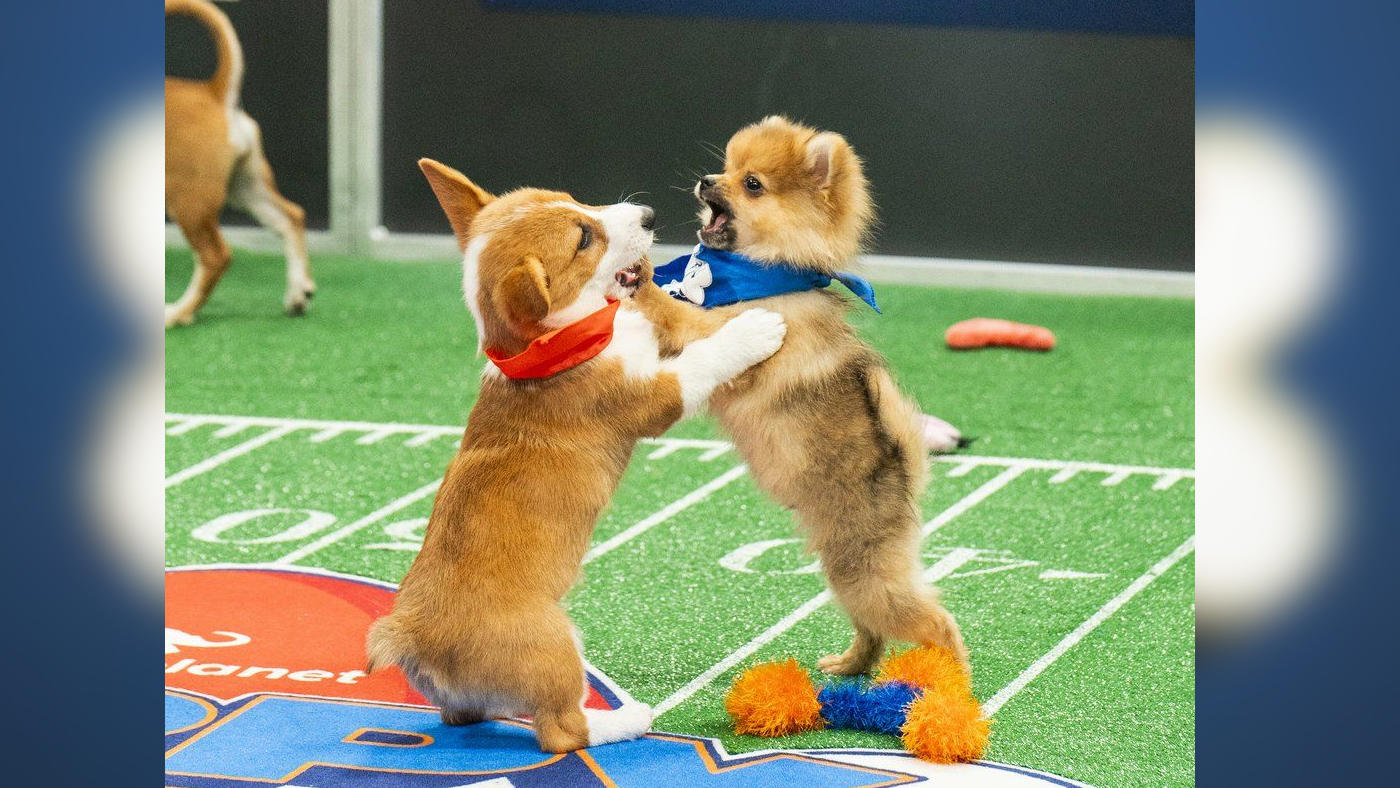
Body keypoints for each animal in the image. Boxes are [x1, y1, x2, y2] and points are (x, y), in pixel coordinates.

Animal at [165, 0, 313, 327]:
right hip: (246, 188)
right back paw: (297, 293)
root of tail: (214, 93)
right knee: (290, 217)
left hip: (189, 201)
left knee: (215, 256)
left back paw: (179, 312)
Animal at [364, 158, 789, 750]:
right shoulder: (656, 397)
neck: (551, 344)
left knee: (468, 716)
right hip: (557, 650)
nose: (649, 215)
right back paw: (627, 719)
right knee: (562, 730)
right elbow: (703, 359)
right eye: (584, 239)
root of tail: (411, 635)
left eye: (573, 199)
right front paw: (753, 330)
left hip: (472, 697)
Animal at [641, 116, 968, 671]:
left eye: (752, 184)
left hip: (864, 573)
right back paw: (848, 666)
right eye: (726, 167)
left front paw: (639, 278)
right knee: (873, 632)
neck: (763, 275)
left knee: (936, 624)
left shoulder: (727, 331)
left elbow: (677, 311)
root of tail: (906, 472)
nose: (706, 181)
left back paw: (954, 680)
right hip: (844, 571)